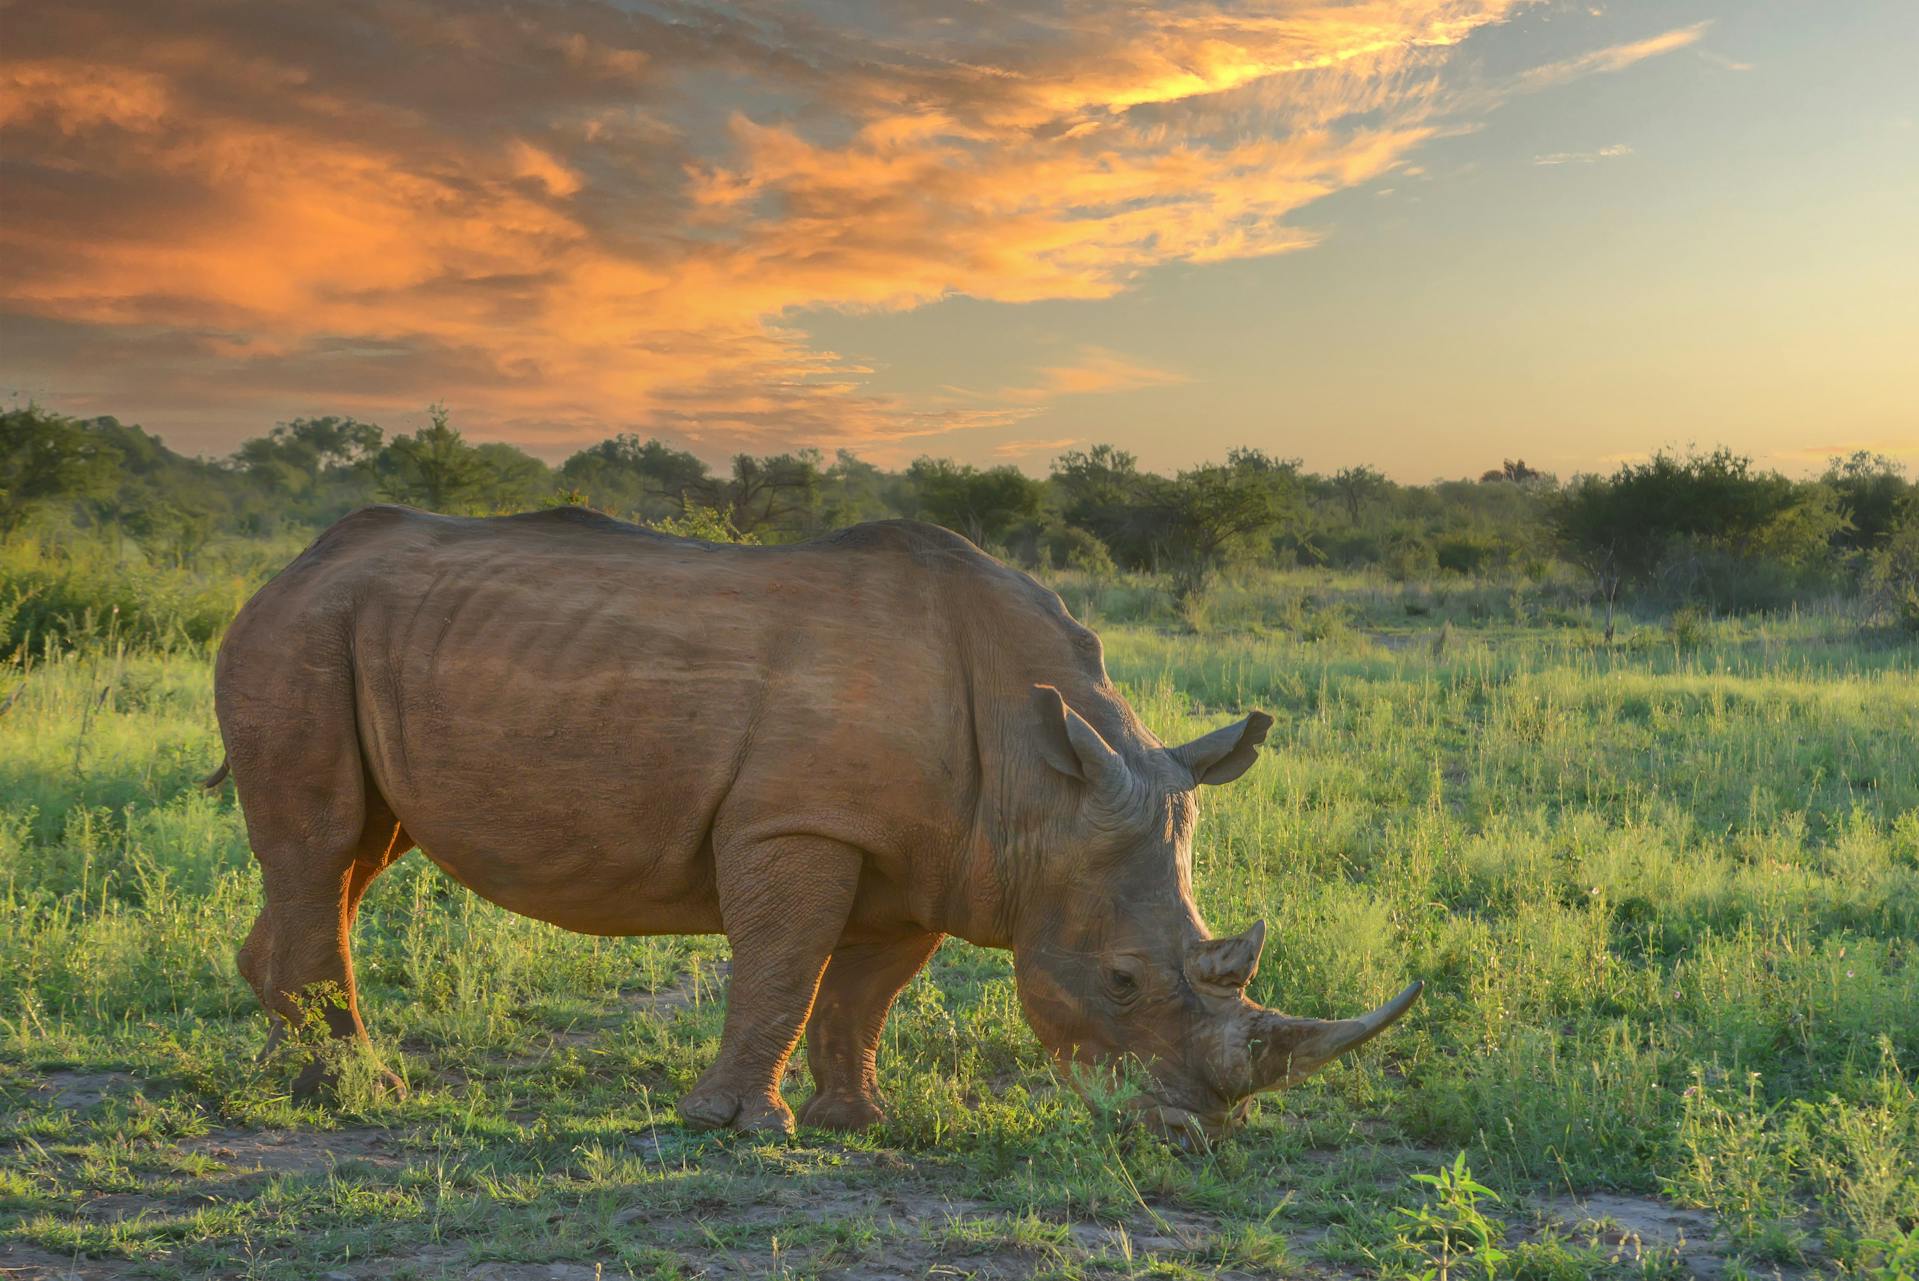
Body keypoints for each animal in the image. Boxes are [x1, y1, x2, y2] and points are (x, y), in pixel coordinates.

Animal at [211, 506, 1420, 1138]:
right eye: (1121, 980)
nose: (1190, 1137)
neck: (1041, 782)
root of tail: (290, 563)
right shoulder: (797, 825)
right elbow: (785, 964)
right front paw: (742, 1129)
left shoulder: (942, 855)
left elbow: (863, 988)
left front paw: (857, 1119)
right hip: (301, 632)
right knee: (323, 845)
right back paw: (351, 1091)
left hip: (358, 635)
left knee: (352, 855)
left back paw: (286, 1064)